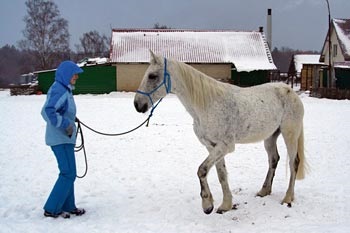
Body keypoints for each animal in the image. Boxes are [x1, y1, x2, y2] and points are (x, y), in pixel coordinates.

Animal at [134, 51, 306, 215]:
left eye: (152, 76)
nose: (137, 104)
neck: (208, 105)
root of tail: (290, 91)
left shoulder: (225, 146)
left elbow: (202, 170)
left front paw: (207, 205)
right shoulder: (212, 146)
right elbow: (221, 174)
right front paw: (225, 205)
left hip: (290, 135)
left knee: (293, 163)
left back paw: (287, 198)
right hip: (270, 137)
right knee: (273, 160)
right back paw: (264, 191)